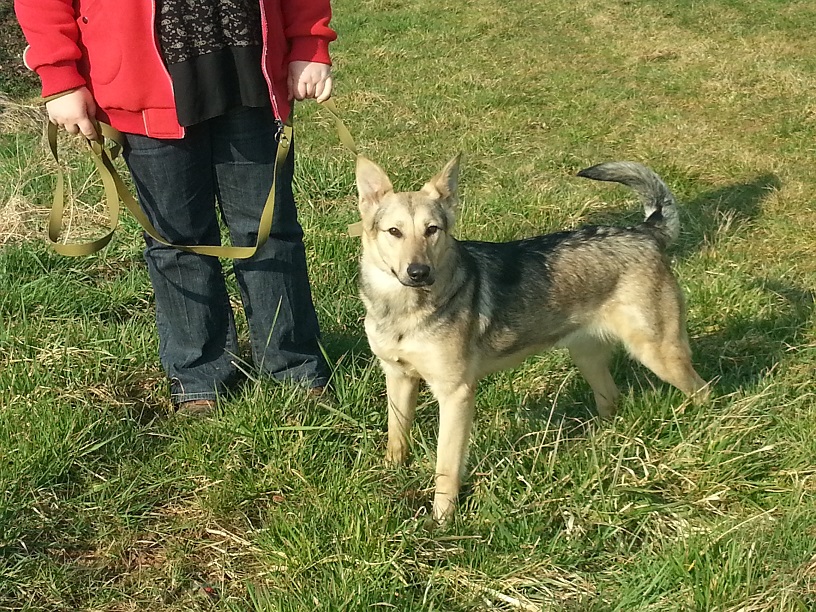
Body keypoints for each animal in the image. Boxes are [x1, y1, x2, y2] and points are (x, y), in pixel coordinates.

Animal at [355, 155, 709, 523]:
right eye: (394, 231)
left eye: (432, 230)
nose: (419, 272)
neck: (403, 310)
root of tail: (645, 231)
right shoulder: (398, 377)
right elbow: (397, 436)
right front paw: (390, 473)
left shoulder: (455, 395)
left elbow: (446, 467)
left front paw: (442, 519)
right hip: (588, 358)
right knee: (612, 399)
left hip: (659, 353)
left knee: (703, 391)